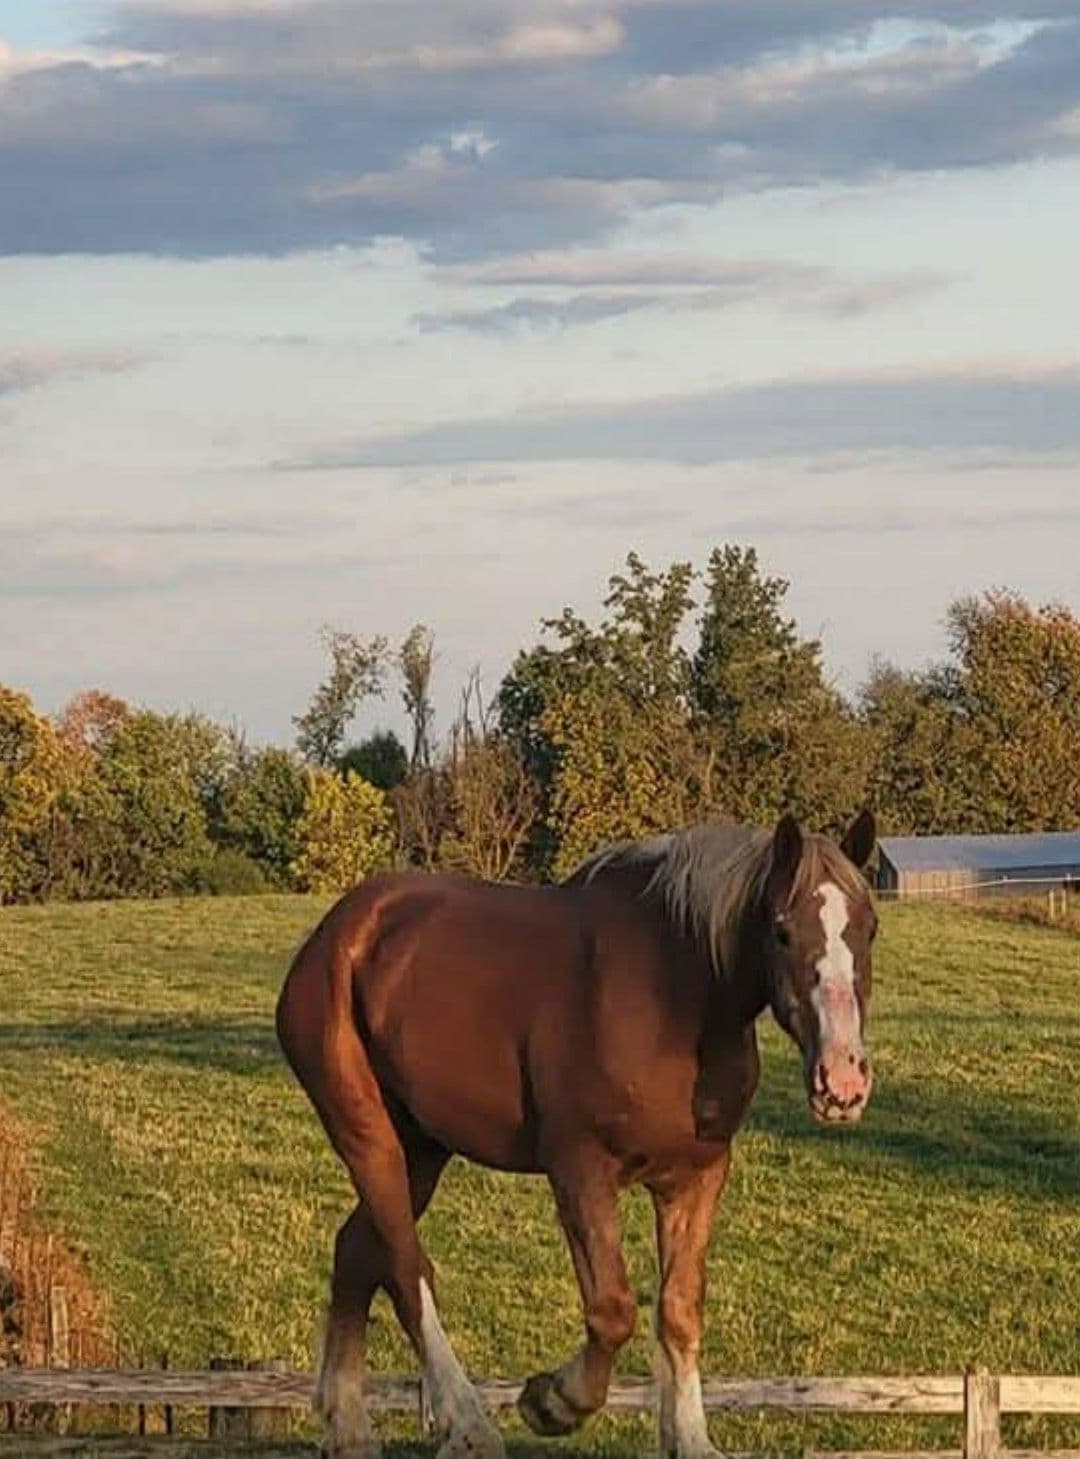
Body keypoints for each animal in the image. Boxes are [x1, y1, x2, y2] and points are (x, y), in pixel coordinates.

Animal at [276, 809, 878, 1459]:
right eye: (782, 932)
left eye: (869, 929)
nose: (842, 1078)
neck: (673, 997)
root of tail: (339, 931)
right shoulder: (580, 1170)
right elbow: (613, 1310)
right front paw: (552, 1401)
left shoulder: (696, 1176)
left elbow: (680, 1309)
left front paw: (690, 1438)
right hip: (368, 1136)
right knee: (408, 1271)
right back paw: (466, 1424)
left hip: (421, 1149)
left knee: (358, 1250)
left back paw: (348, 1426)